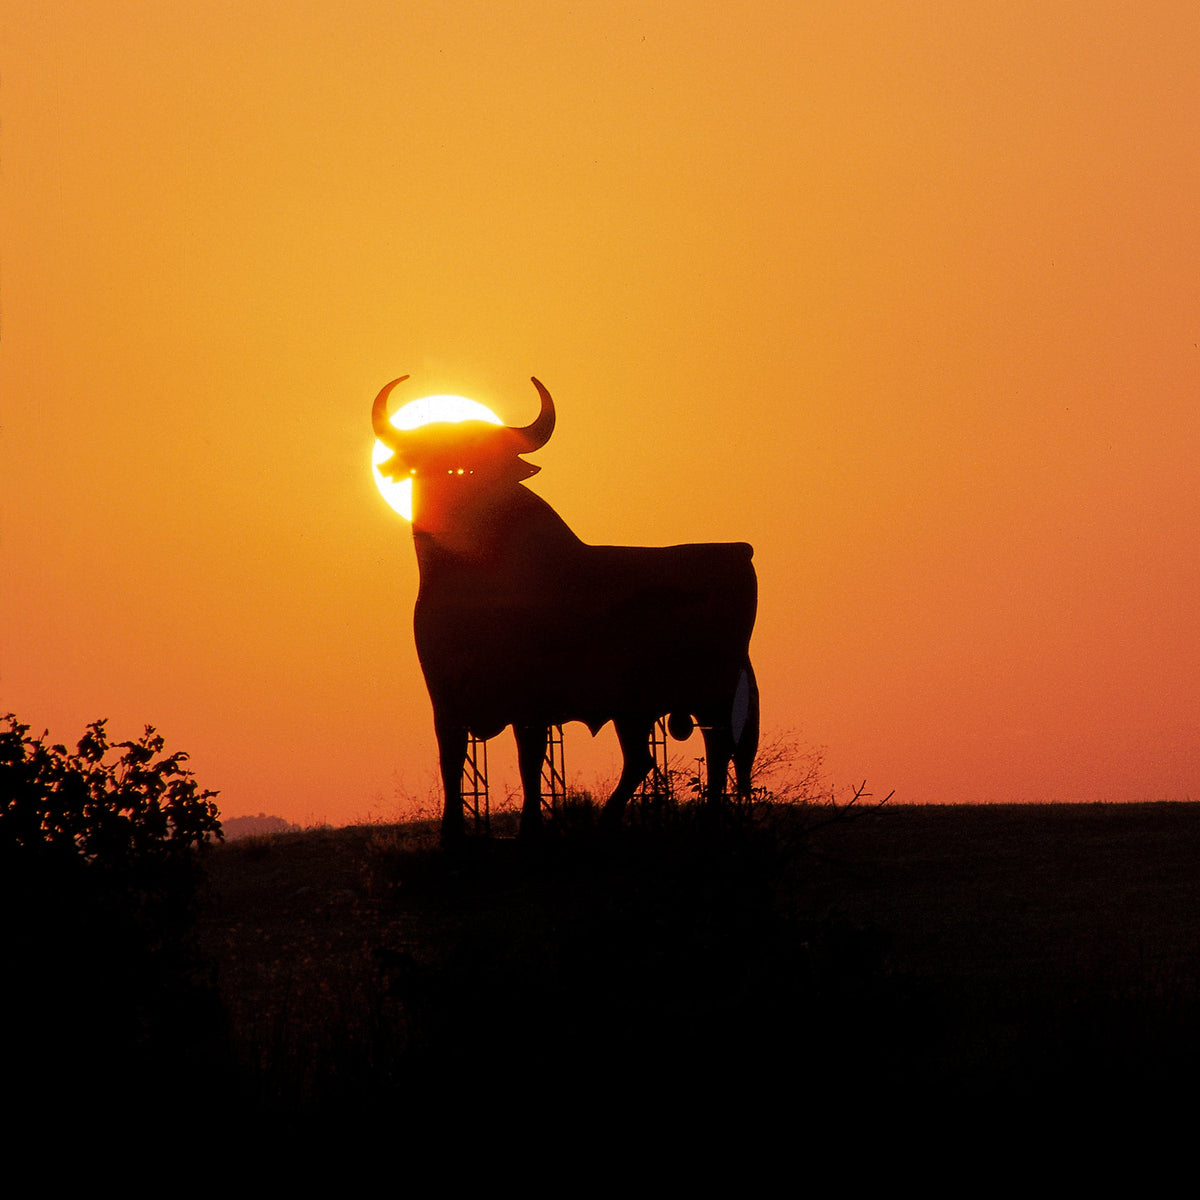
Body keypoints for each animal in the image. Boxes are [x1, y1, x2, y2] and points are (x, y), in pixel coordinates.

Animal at [371, 375, 759, 842]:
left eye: (486, 461)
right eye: (429, 460)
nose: (458, 478)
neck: (472, 581)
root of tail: (738, 551)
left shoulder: (532, 699)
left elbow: (529, 760)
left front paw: (529, 830)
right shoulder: (445, 698)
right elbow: (451, 761)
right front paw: (452, 836)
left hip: (711, 691)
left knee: (718, 749)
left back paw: (709, 822)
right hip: (635, 706)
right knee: (644, 758)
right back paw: (609, 823)